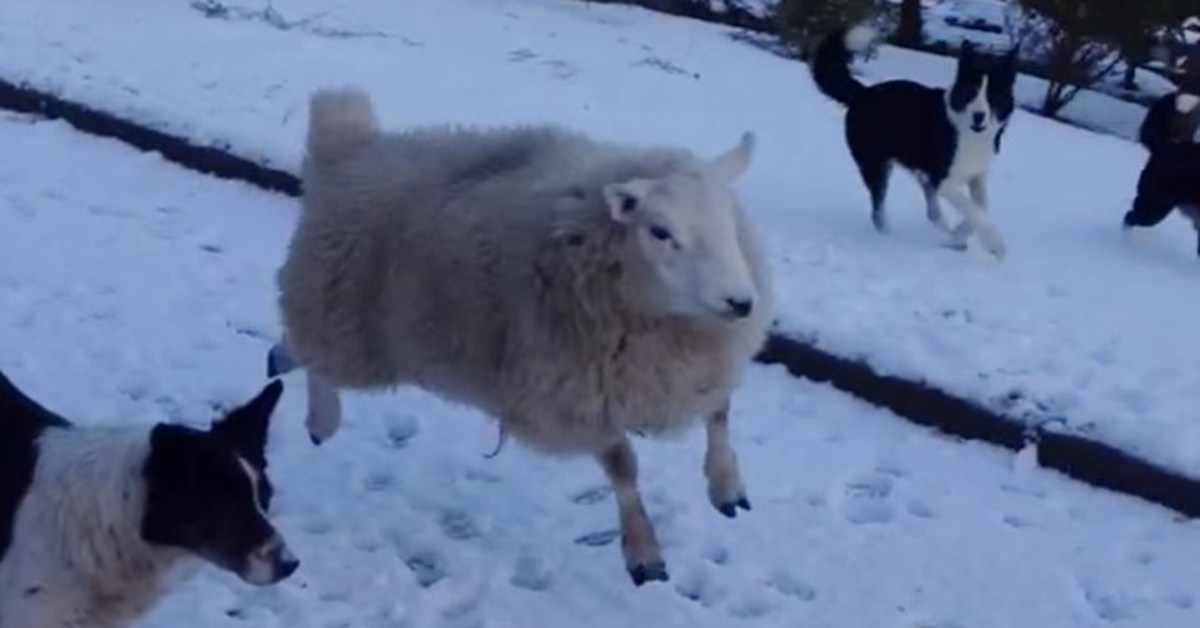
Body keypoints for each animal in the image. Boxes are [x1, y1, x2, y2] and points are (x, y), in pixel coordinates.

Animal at [272, 87, 772, 585]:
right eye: (660, 231)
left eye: (729, 222)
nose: (741, 302)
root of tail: (348, 149)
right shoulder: (573, 397)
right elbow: (623, 467)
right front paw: (644, 552)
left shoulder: (697, 366)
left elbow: (720, 413)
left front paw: (727, 486)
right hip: (345, 323)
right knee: (311, 355)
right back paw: (320, 417)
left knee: (297, 351)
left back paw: (282, 370)